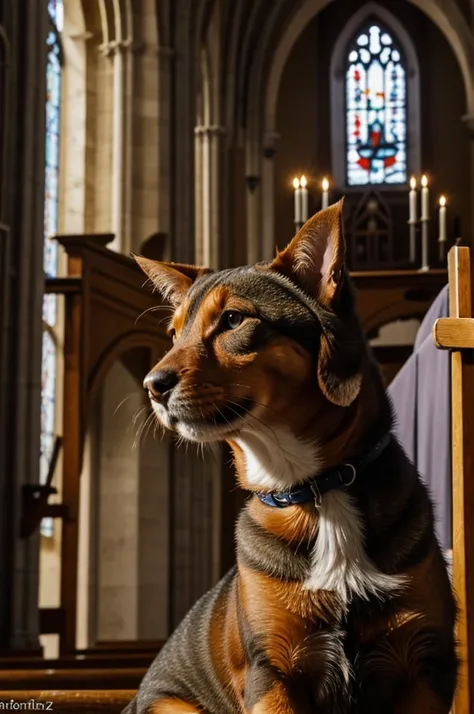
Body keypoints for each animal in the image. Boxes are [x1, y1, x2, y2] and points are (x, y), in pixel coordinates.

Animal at [124, 202, 458, 712]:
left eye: (233, 320)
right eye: (174, 333)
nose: (152, 386)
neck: (319, 489)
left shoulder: (422, 664)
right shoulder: (274, 670)